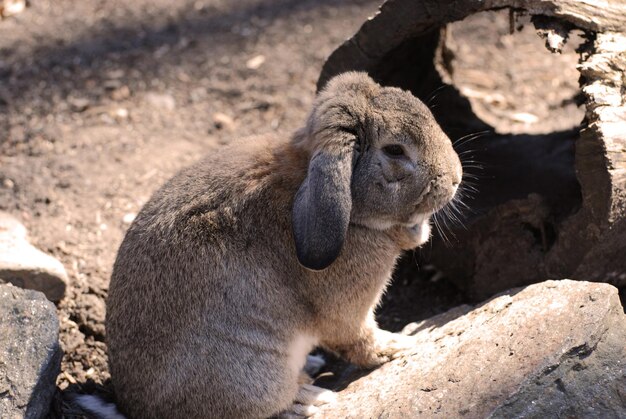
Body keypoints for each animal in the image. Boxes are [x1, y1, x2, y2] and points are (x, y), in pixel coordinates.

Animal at [102, 73, 460, 419]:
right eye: (395, 150)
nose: (455, 178)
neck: (353, 213)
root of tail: (133, 407)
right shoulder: (348, 312)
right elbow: (358, 339)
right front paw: (401, 344)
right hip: (252, 368)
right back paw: (309, 398)